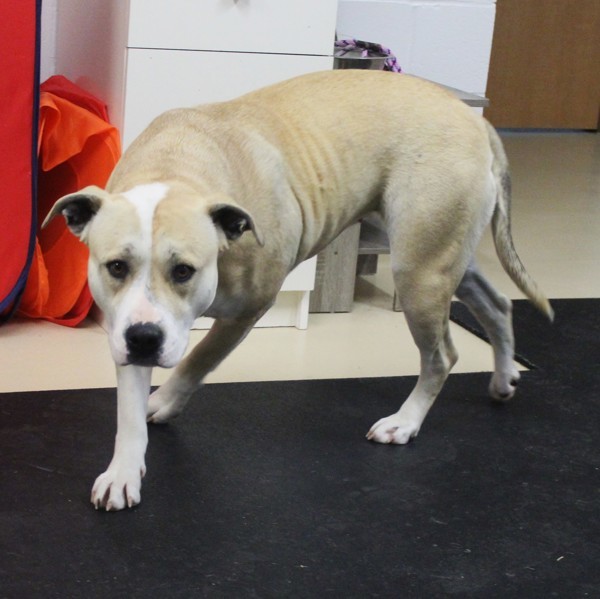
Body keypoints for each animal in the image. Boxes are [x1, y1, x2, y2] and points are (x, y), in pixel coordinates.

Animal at [43, 71, 552, 510]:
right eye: (115, 266)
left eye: (184, 271)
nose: (145, 340)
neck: (178, 170)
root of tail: (474, 118)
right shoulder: (127, 325)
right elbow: (128, 411)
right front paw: (124, 471)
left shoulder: (248, 309)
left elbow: (197, 360)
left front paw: (164, 403)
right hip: (444, 260)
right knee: (497, 303)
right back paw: (503, 376)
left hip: (419, 272)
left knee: (442, 355)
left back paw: (405, 422)